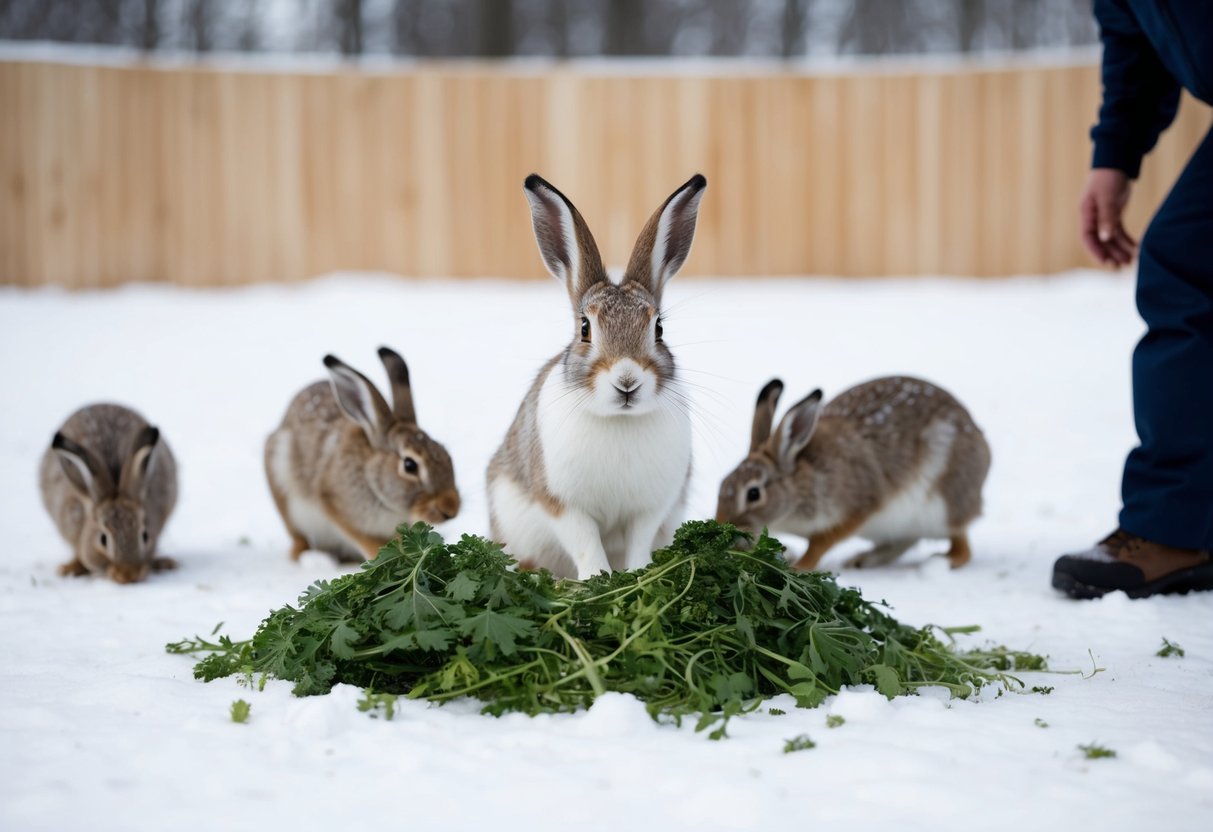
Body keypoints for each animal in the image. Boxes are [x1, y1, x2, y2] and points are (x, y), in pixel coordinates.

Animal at [265, 347, 460, 562]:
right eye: (410, 465)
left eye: (447, 456)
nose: (451, 509)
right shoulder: (335, 503)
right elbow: (367, 540)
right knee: (299, 539)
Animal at [486, 173, 707, 580]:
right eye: (585, 329)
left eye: (659, 330)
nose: (627, 380)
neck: (619, 420)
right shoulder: (563, 505)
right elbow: (586, 543)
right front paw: (598, 581)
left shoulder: (650, 509)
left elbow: (638, 543)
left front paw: (637, 576)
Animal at [715, 376, 990, 571]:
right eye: (722, 484)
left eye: (753, 494)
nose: (723, 525)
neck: (801, 483)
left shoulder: (857, 506)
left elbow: (821, 542)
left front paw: (799, 567)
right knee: (906, 540)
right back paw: (864, 560)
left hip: (943, 503)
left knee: (962, 543)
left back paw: (944, 561)